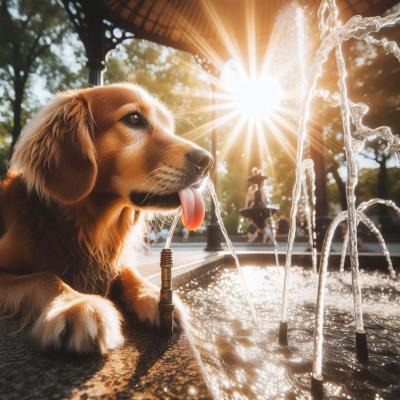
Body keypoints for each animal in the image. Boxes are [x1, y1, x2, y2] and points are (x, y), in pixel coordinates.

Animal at [0, 83, 212, 354]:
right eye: (133, 119)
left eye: (169, 127)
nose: (207, 161)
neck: (81, 224)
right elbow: (44, 276)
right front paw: (77, 305)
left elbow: (129, 271)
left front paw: (153, 295)